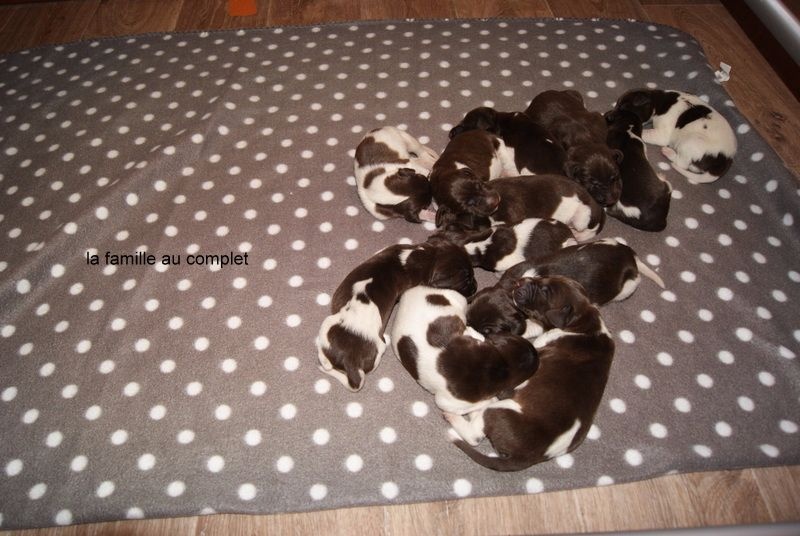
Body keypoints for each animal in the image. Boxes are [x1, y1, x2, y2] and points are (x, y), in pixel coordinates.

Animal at [446, 275, 615, 471]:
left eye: (545, 292)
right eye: (544, 279)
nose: (521, 281)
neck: (584, 321)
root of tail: (529, 457)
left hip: (499, 411)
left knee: (475, 434)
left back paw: (459, 413)